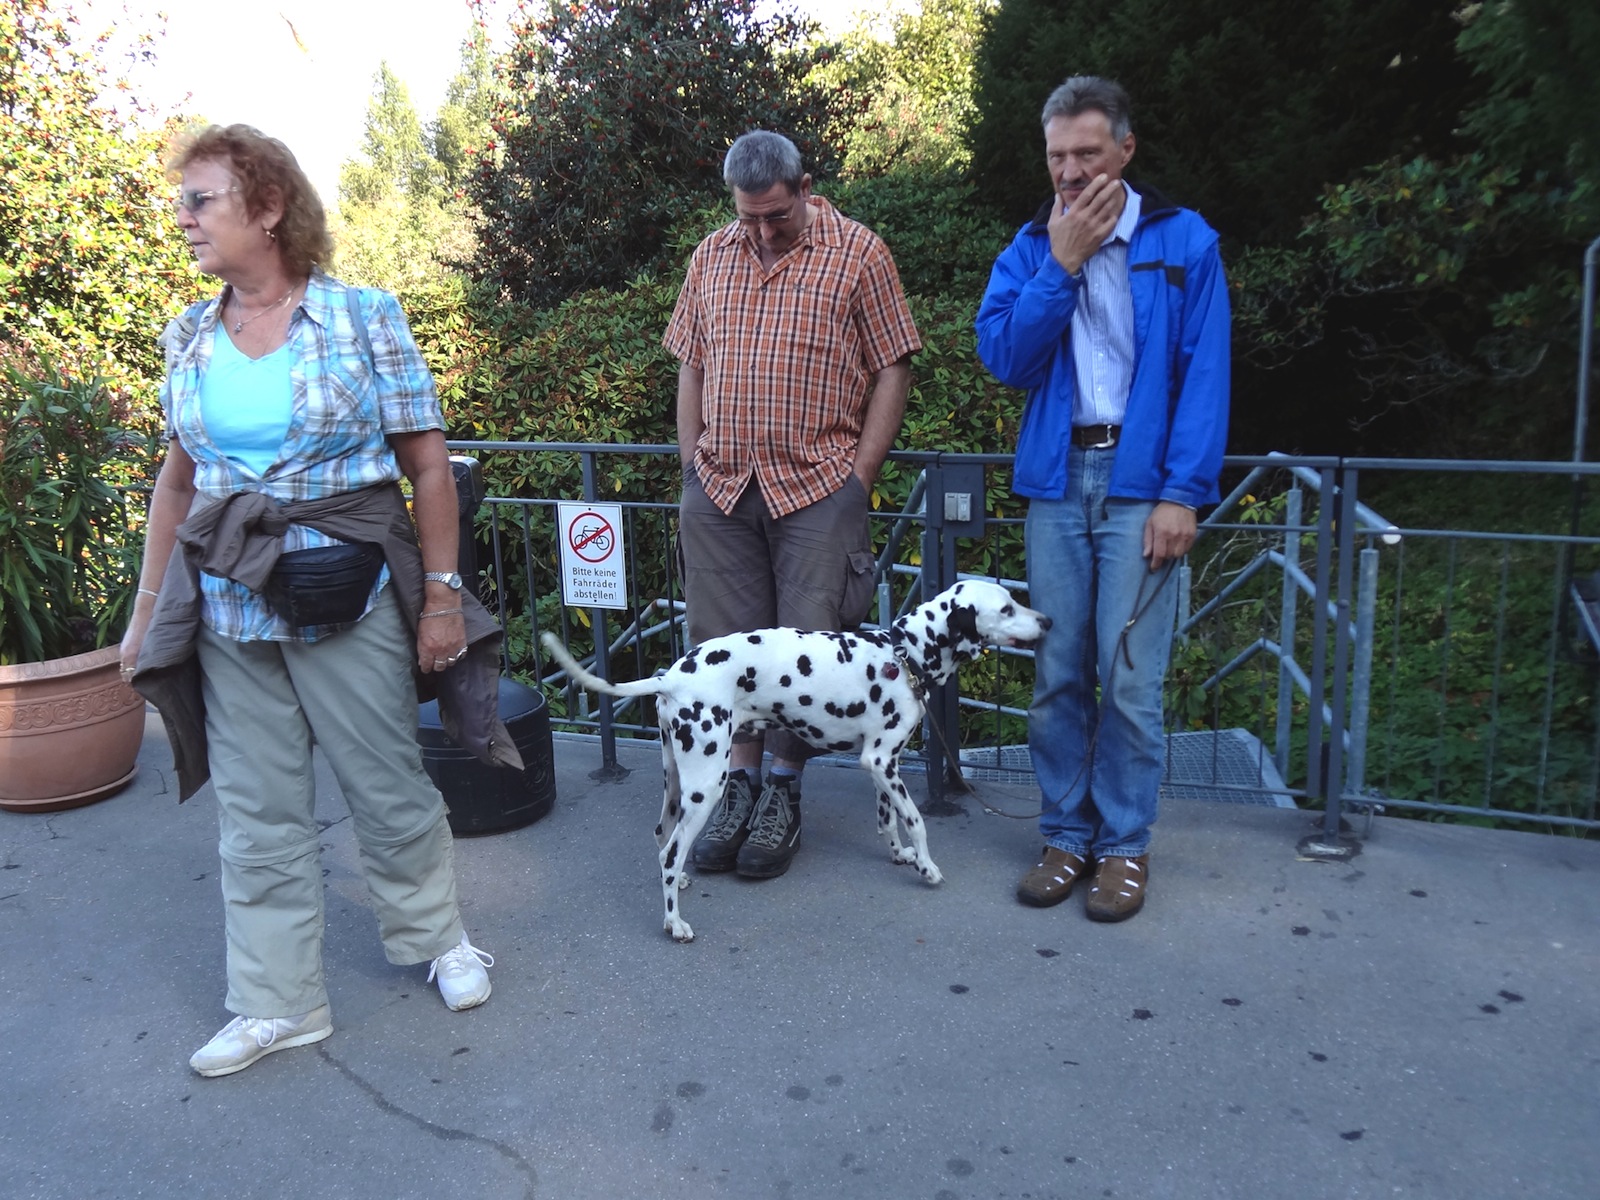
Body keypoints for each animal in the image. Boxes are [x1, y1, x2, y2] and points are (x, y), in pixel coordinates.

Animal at [541, 579, 1050, 942]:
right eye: (1006, 608)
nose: (1046, 620)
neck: (904, 654)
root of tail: (672, 678)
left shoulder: (882, 765)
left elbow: (888, 819)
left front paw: (899, 855)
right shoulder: (882, 761)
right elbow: (918, 821)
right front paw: (926, 868)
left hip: (677, 786)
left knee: (664, 840)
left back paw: (680, 883)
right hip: (707, 784)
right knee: (669, 852)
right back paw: (674, 925)